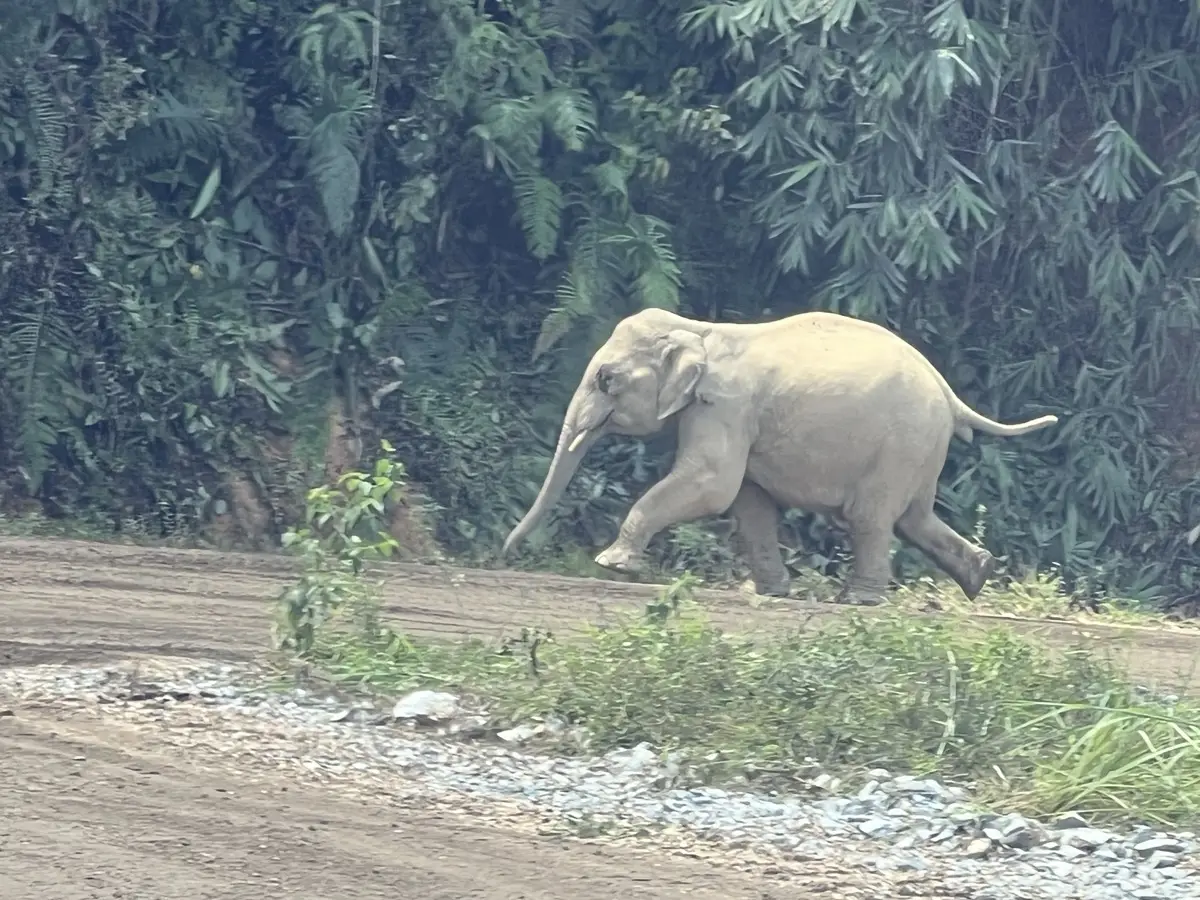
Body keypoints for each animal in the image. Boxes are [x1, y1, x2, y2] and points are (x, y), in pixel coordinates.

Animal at [501, 308, 1059, 606]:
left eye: (605, 379)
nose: (508, 554)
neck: (698, 327)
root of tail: (948, 393)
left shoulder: (725, 407)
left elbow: (712, 484)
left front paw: (613, 565)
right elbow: (747, 501)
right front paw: (772, 593)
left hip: (902, 443)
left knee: (871, 517)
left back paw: (859, 600)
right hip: (918, 449)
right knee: (914, 519)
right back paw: (979, 576)